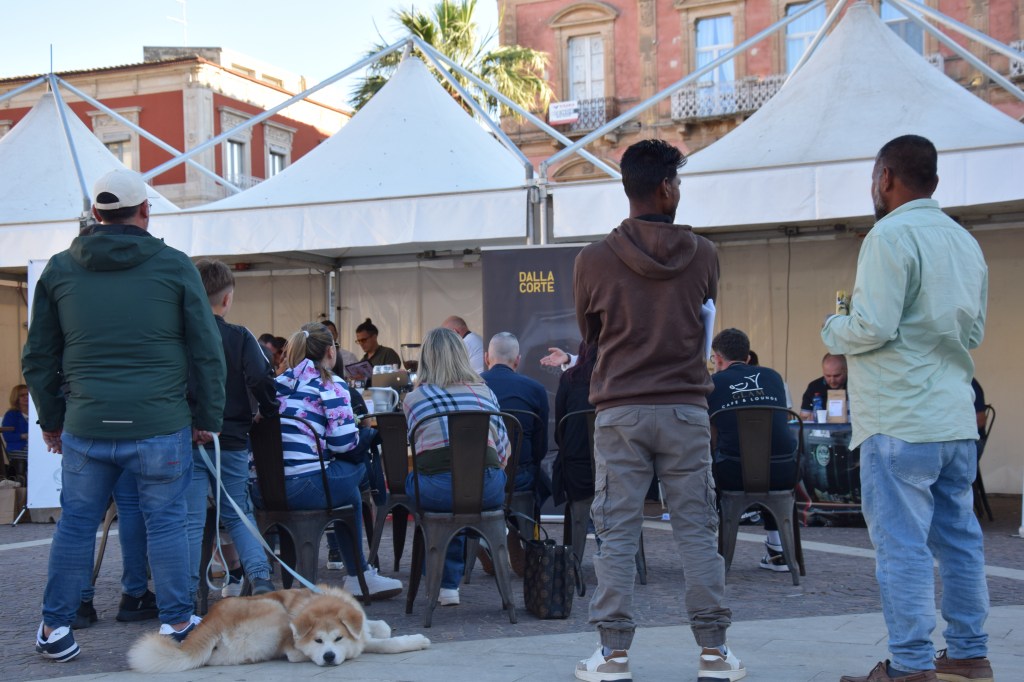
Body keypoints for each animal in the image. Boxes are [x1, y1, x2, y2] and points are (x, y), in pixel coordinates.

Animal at [127, 585, 430, 673]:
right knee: (291, 653)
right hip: (276, 611)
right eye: (318, 641)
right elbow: (382, 642)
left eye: (337, 638)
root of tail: (210, 622)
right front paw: (416, 640)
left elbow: (379, 626)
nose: (328, 657)